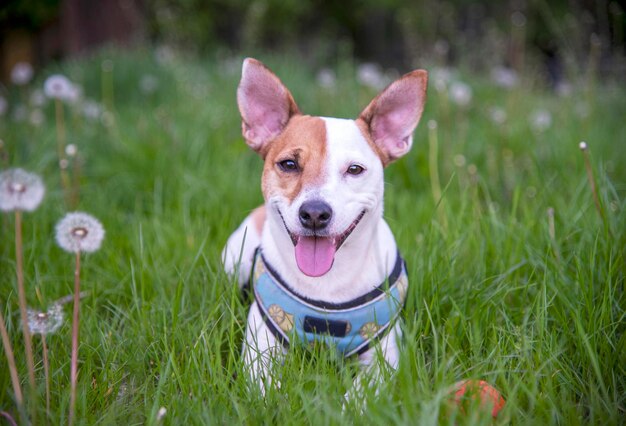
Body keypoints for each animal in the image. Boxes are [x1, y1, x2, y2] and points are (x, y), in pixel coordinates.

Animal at [222, 58, 426, 402]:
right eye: (289, 164)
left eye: (355, 169)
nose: (315, 213)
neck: (327, 284)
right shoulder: (260, 344)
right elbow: (263, 386)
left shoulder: (383, 356)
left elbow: (361, 394)